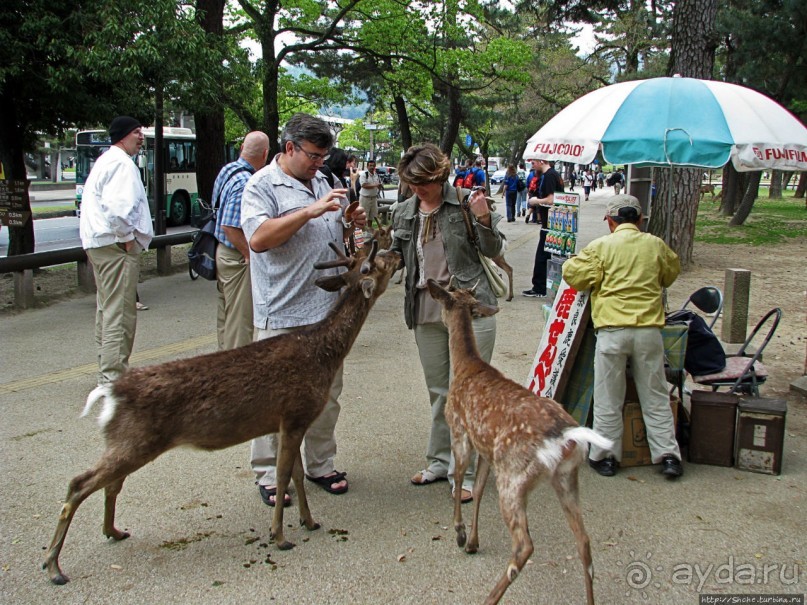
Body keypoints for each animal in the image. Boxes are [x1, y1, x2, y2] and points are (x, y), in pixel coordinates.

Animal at [41, 241, 400, 584]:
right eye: (379, 262)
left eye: (364, 257)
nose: (397, 251)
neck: (321, 355)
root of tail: (111, 393)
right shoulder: (296, 413)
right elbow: (282, 476)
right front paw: (280, 536)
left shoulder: (286, 422)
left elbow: (297, 474)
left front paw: (309, 521)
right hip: (134, 440)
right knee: (79, 482)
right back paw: (53, 566)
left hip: (127, 441)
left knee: (110, 483)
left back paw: (113, 532)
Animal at [426, 278, 608, 604]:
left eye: (448, 296)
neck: (465, 366)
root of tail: (566, 437)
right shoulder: (487, 450)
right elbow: (478, 490)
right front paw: (473, 542)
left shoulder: (461, 431)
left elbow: (459, 479)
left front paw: (460, 534)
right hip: (565, 479)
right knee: (585, 544)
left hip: (514, 478)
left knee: (525, 545)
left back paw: (489, 598)